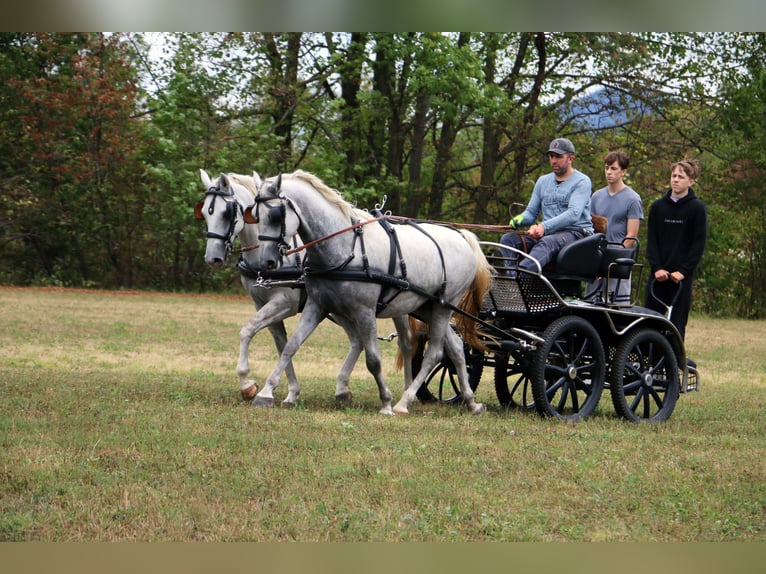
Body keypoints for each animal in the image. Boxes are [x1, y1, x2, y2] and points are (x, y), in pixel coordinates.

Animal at [195, 169, 416, 408]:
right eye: (205, 213)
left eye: (226, 213)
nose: (212, 258)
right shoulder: (262, 304)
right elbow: (282, 344)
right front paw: (290, 391)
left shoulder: (285, 303)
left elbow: (247, 330)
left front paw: (247, 384)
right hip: (339, 308)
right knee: (357, 340)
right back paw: (343, 388)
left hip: (395, 307)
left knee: (406, 343)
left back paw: (407, 393)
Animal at [249, 171, 496, 418]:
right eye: (255, 215)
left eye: (275, 215)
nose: (267, 262)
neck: (345, 249)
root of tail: (463, 237)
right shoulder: (316, 306)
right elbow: (291, 346)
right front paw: (266, 392)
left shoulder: (364, 311)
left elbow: (373, 360)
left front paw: (385, 402)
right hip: (427, 307)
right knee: (455, 347)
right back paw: (471, 402)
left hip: (445, 305)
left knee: (434, 353)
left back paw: (404, 401)